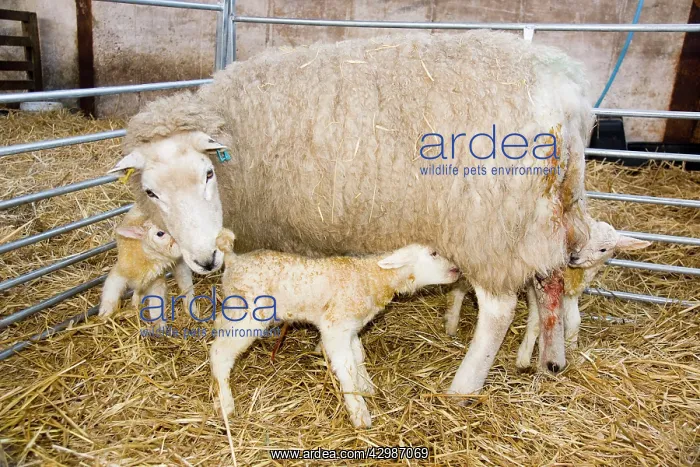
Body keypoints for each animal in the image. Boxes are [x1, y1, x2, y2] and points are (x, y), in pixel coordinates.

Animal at [110, 31, 594, 395]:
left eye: (208, 174)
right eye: (151, 191)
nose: (206, 259)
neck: (237, 140)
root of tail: (567, 92)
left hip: (487, 224)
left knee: (498, 310)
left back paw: (464, 385)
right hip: (543, 213)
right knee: (549, 282)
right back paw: (548, 358)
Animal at [210, 229, 461, 428]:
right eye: (433, 253)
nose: (457, 270)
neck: (371, 277)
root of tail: (232, 259)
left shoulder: (350, 327)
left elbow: (358, 356)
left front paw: (366, 386)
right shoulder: (335, 327)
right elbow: (346, 366)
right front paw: (359, 412)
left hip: (233, 308)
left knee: (219, 329)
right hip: (250, 314)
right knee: (220, 351)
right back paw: (225, 404)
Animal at [515, 222, 651, 369]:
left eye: (603, 249)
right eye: (583, 235)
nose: (574, 256)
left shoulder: (572, 292)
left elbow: (574, 320)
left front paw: (571, 347)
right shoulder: (536, 281)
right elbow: (536, 319)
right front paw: (524, 357)